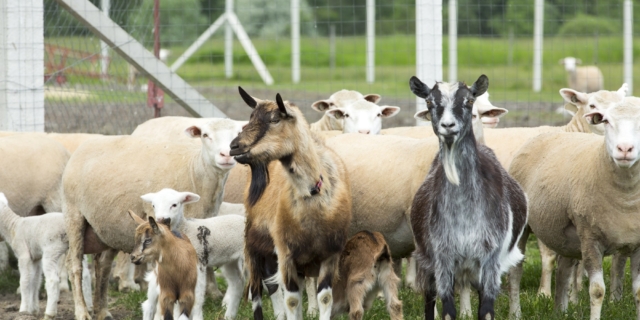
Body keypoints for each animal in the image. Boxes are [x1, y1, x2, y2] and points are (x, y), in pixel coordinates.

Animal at [0, 192, 92, 320]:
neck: (13, 226)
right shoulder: (36, 258)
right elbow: (35, 281)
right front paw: (33, 310)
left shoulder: (24, 255)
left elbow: (24, 282)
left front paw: (23, 310)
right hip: (76, 247)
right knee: (85, 275)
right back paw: (88, 308)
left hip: (52, 249)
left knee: (53, 280)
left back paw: (50, 313)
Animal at [139, 188, 246, 320]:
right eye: (153, 205)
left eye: (174, 205)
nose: (161, 219)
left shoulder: (197, 265)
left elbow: (196, 298)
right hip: (230, 260)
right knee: (237, 283)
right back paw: (229, 315)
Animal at [408, 75, 528, 320]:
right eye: (429, 102)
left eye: (469, 101)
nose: (448, 126)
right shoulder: (442, 258)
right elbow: (446, 310)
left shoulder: (490, 259)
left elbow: (487, 310)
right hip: (427, 260)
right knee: (429, 298)